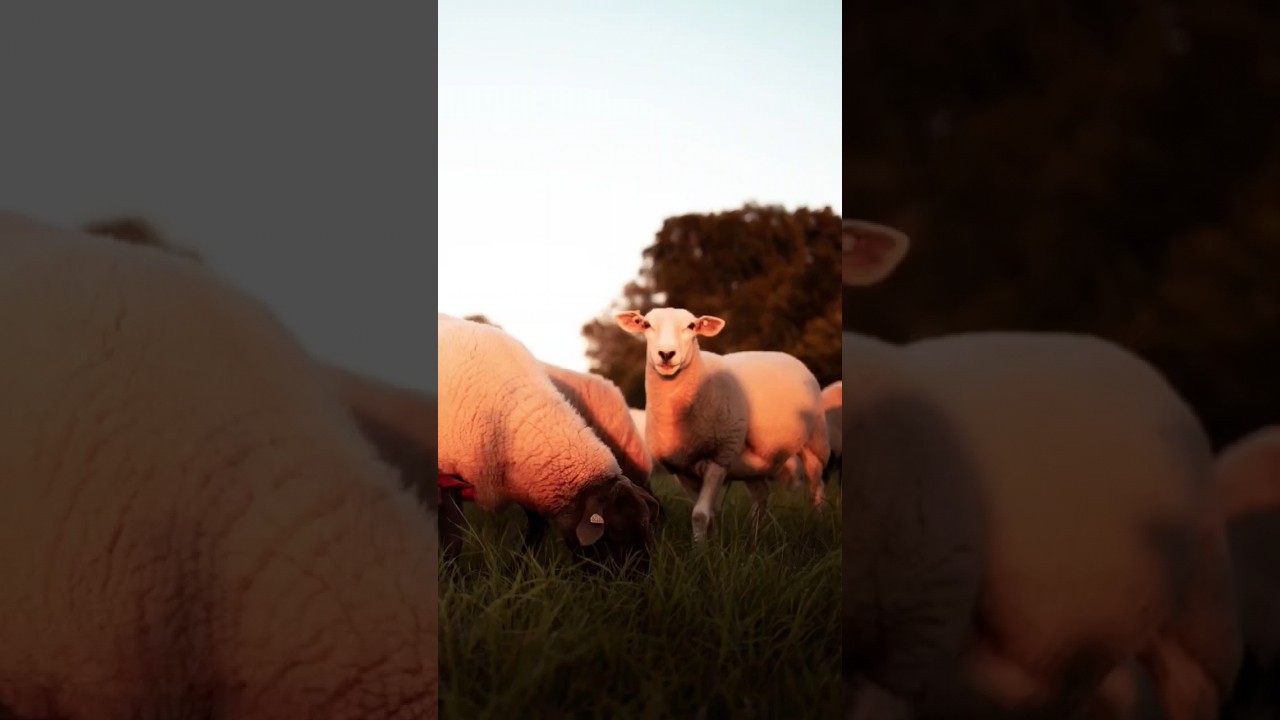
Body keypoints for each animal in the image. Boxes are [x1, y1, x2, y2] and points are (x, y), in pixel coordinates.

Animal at [437, 313, 660, 567]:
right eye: (617, 533)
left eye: (645, 529)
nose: (641, 575)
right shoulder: (448, 475)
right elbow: (453, 537)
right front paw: (451, 570)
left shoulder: (526, 480)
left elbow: (537, 529)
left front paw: (519, 567)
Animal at [614, 308, 831, 543]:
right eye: (646, 325)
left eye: (691, 326)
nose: (666, 354)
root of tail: (788, 356)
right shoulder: (682, 469)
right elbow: (709, 512)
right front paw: (712, 543)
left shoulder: (720, 457)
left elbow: (699, 514)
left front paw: (699, 548)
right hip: (752, 463)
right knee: (762, 494)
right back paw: (755, 534)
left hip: (815, 443)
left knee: (817, 488)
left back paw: (819, 521)